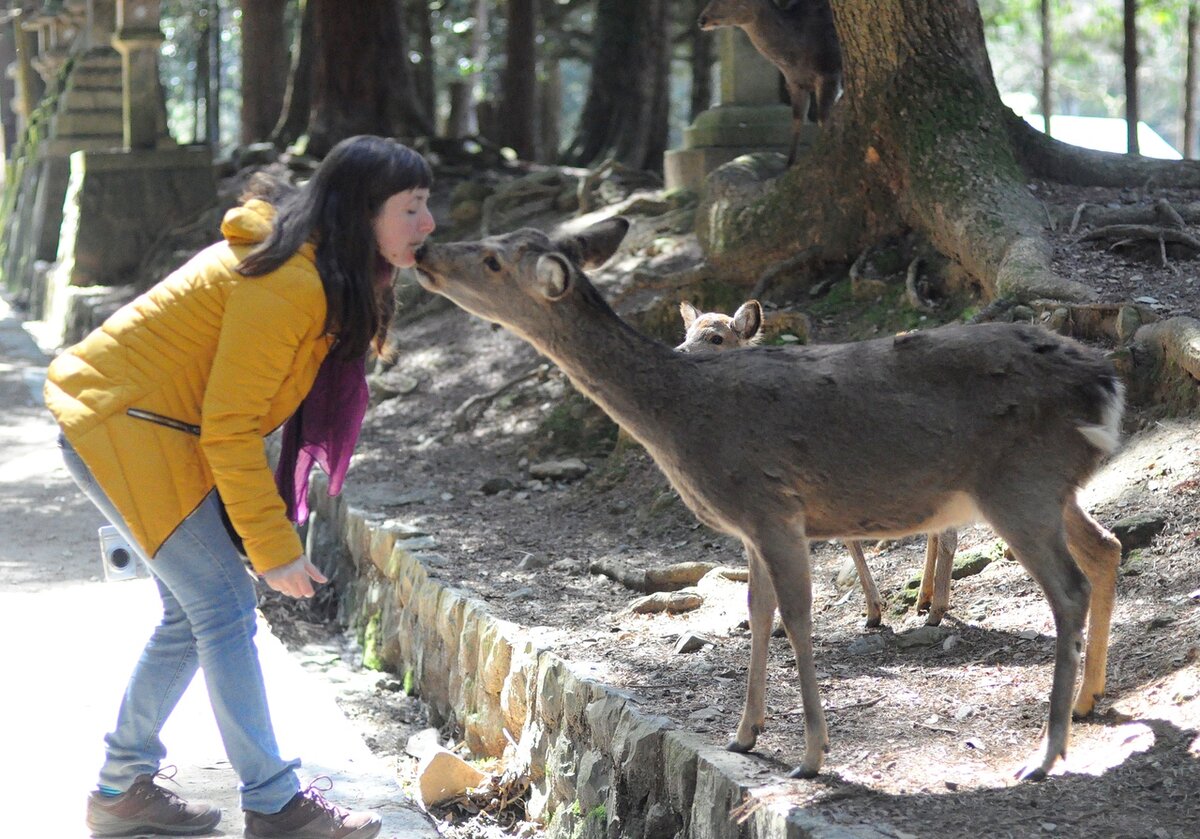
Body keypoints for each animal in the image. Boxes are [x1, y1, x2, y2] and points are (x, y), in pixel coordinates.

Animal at [681, 302, 960, 628]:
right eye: (687, 333)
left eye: (716, 338)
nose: (679, 351)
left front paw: (872, 612)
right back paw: (923, 600)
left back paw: (936, 610)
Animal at [696, 0, 844, 164]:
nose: (701, 20)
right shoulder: (794, 83)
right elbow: (797, 122)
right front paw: (789, 164)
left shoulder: (829, 71)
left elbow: (823, 119)